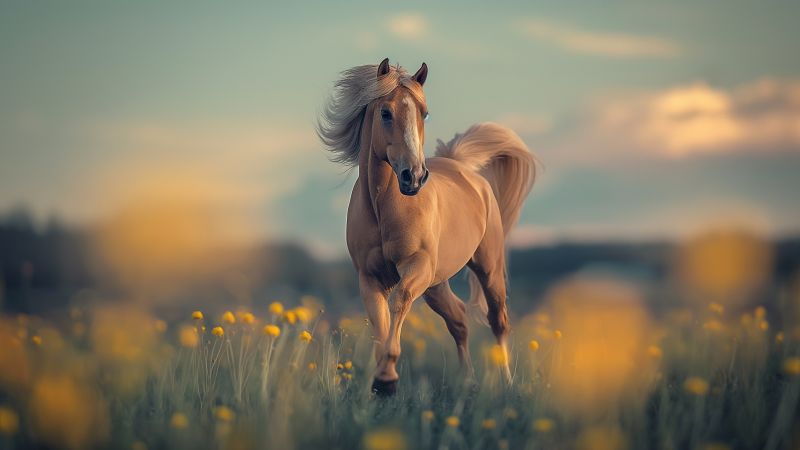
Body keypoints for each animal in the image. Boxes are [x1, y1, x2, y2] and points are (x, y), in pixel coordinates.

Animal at [317, 58, 536, 395]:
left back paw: (506, 382)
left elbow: (398, 301)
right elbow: (380, 322)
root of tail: (463, 168)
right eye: (385, 112)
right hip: (436, 284)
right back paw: (469, 383)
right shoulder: (369, 278)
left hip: (487, 268)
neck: (384, 208)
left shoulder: (415, 267)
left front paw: (387, 377)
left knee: (498, 320)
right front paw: (381, 383)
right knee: (459, 320)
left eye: (424, 112)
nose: (415, 176)